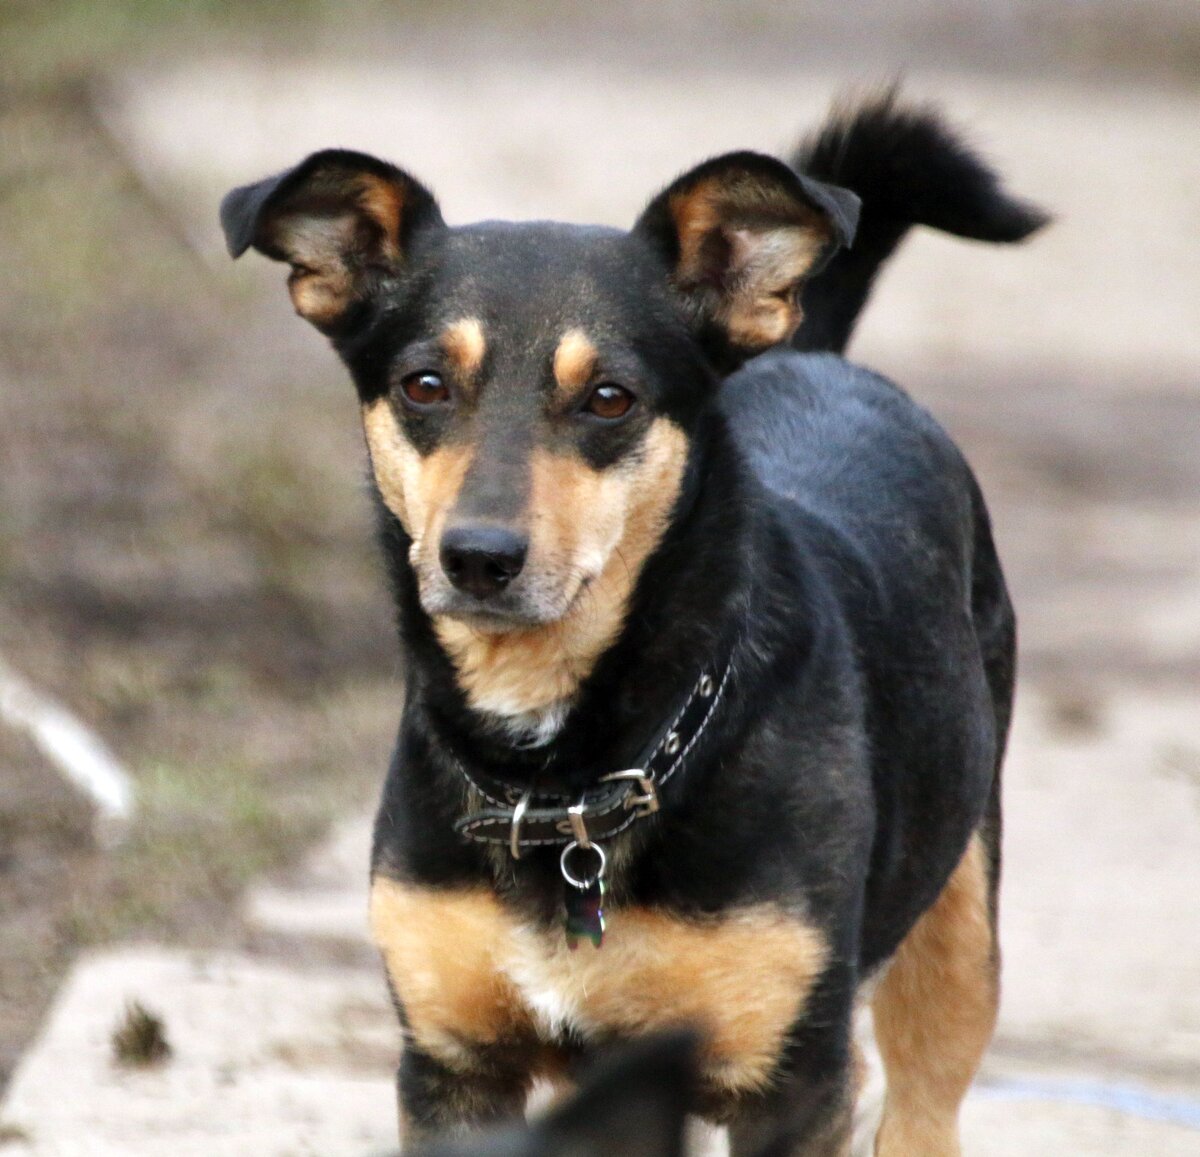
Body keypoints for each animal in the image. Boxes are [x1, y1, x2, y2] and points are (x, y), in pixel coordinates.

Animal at [220, 92, 1046, 1157]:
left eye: (609, 397)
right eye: (423, 385)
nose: (478, 556)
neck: (563, 781)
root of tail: (814, 354)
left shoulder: (792, 1084)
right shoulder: (455, 1063)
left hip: (957, 933)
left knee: (926, 1096)